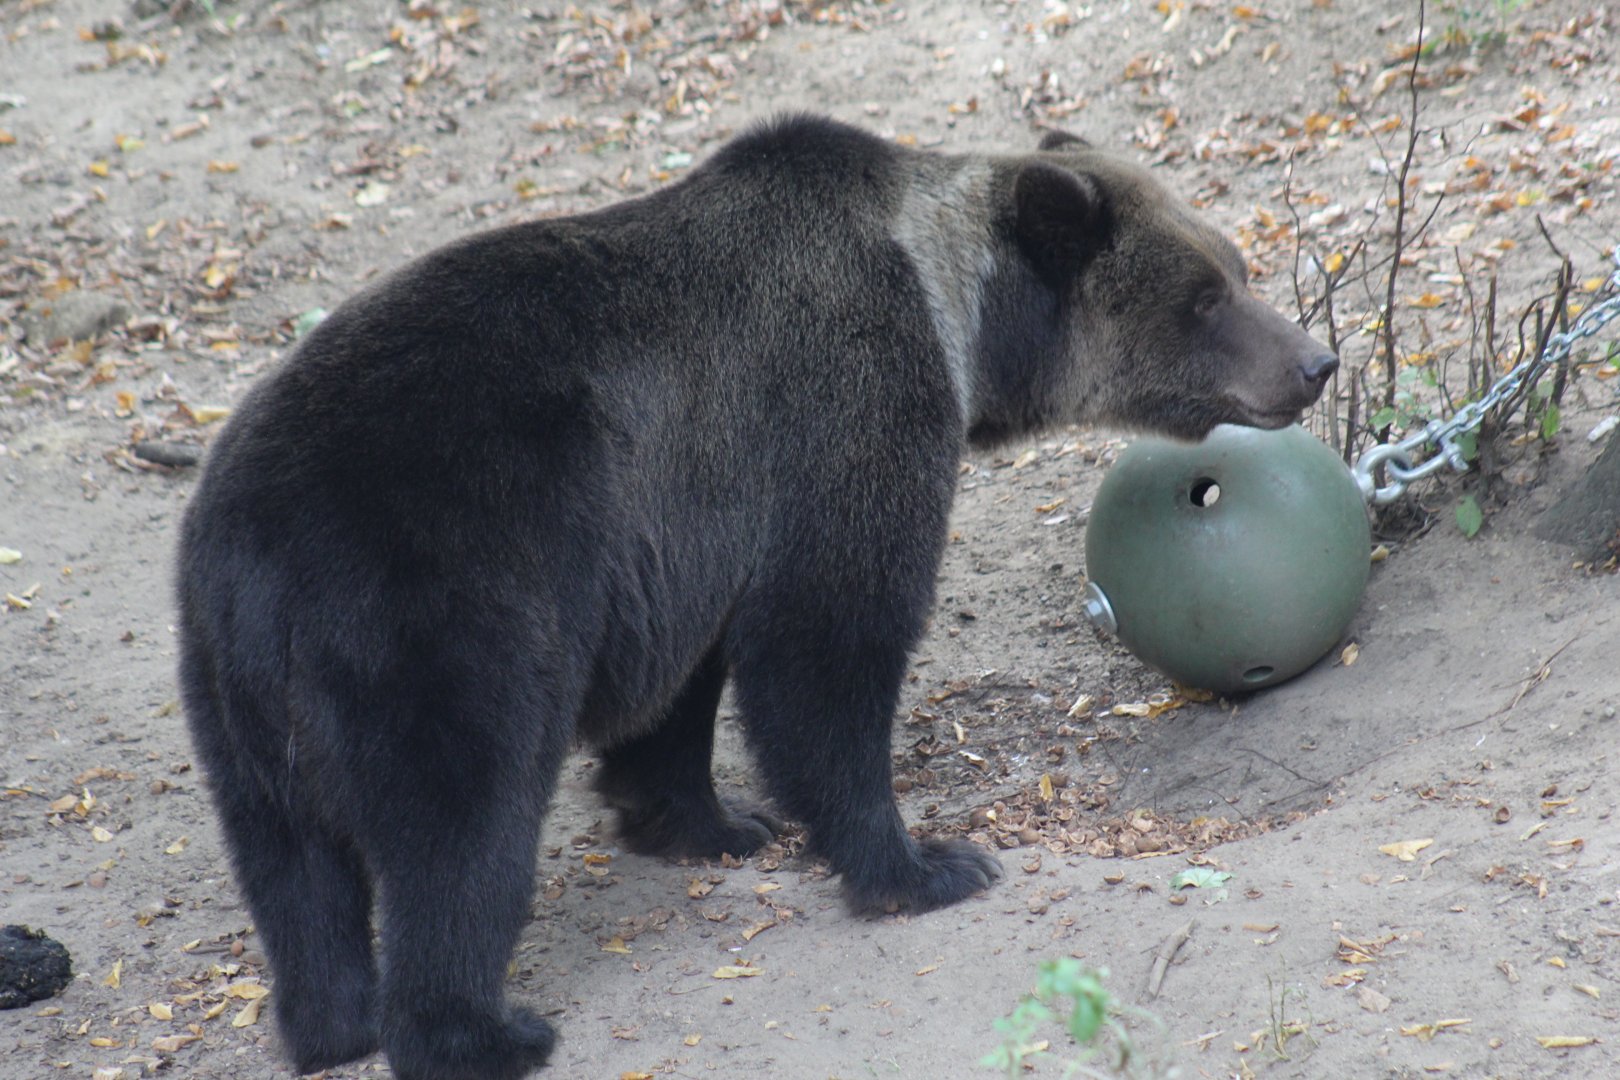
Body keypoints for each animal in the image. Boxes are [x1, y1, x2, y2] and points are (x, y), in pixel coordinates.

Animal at [176, 115, 1336, 1080]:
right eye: (1204, 296)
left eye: (1234, 266)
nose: (1314, 360)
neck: (956, 319)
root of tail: (261, 549)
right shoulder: (838, 414)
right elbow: (828, 647)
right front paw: (924, 861)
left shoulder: (684, 541)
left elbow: (682, 690)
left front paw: (709, 820)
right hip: (446, 607)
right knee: (461, 829)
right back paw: (486, 1031)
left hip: (237, 682)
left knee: (291, 863)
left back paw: (332, 1021)